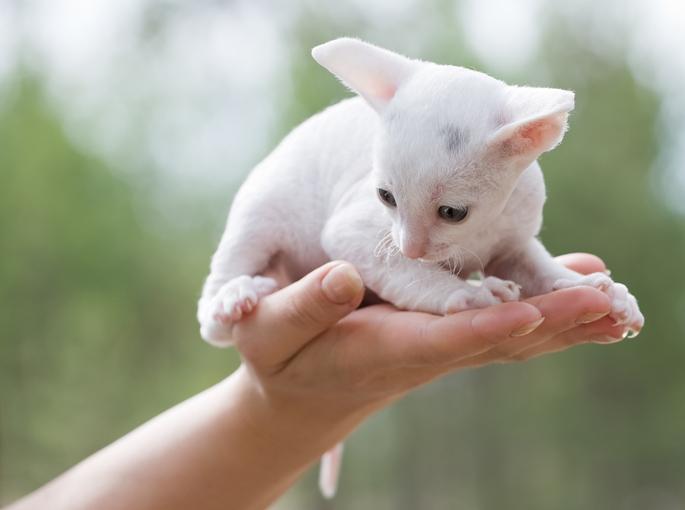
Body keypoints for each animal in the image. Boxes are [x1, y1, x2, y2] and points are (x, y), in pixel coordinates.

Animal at [195, 38, 644, 498]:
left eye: (452, 212)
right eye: (385, 196)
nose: (410, 248)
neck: (483, 231)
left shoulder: (514, 242)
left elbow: (538, 268)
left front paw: (596, 289)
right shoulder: (353, 232)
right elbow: (405, 271)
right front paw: (468, 293)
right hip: (260, 213)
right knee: (214, 316)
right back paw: (237, 295)